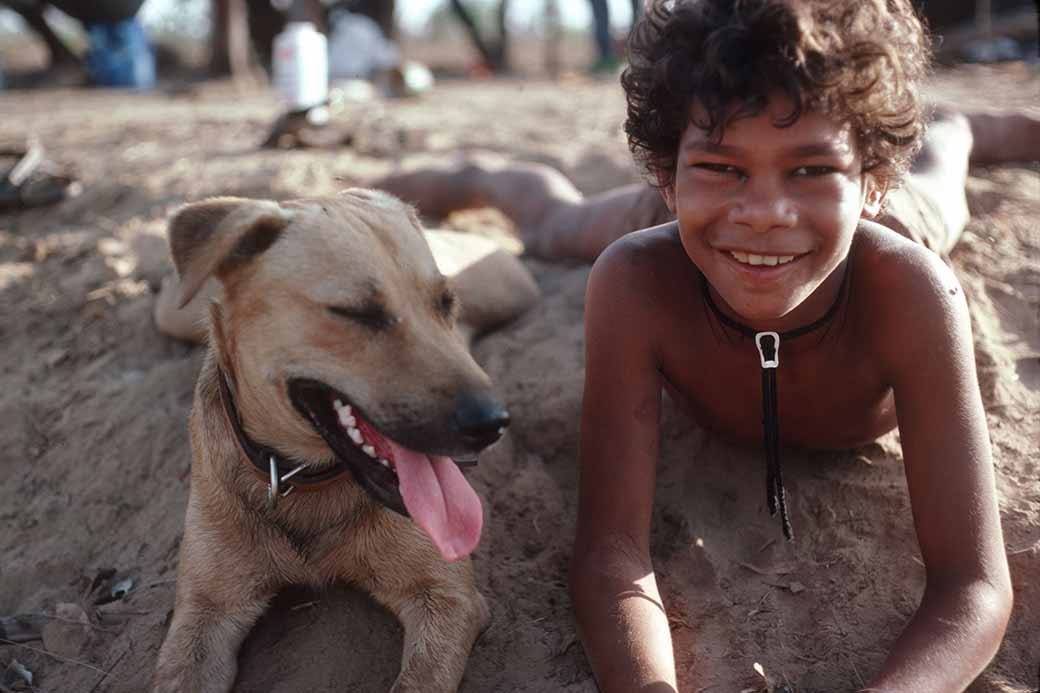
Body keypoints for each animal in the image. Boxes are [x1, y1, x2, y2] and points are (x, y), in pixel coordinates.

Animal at [151, 186, 536, 686]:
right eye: (357, 313)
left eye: (446, 303)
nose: (492, 423)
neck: (301, 477)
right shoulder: (205, 611)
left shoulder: (448, 599)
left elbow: (418, 681)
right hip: (175, 311)